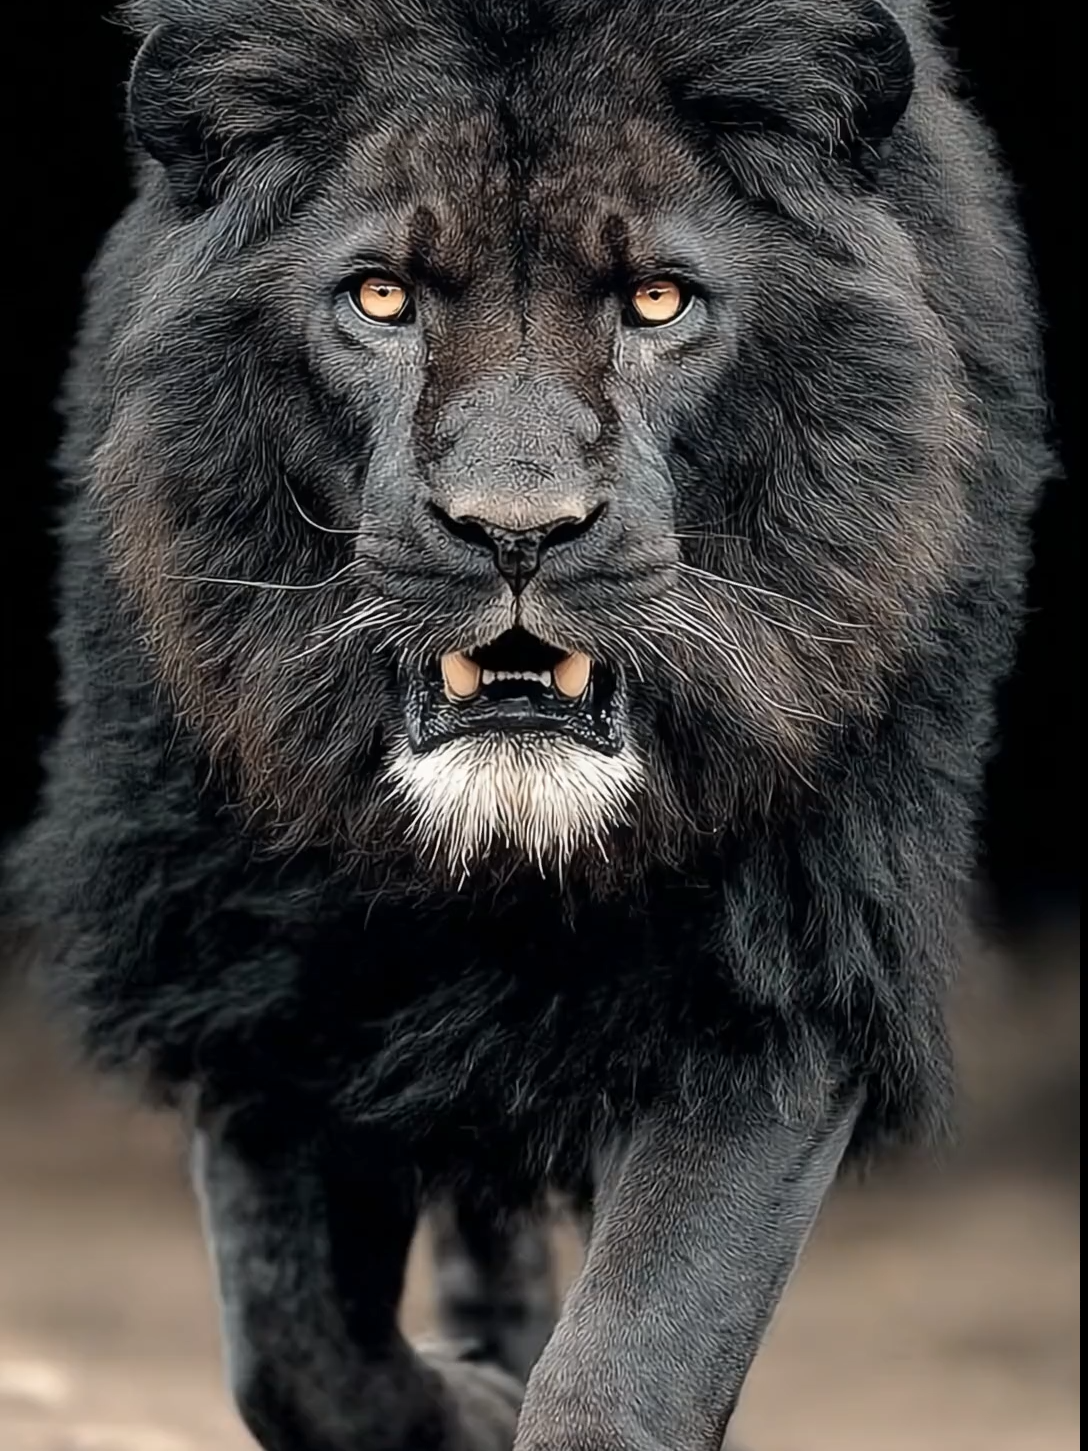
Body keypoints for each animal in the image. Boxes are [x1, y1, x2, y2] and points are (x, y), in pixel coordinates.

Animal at [9, 0, 1052, 1447]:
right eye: (380, 296)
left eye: (657, 299)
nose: (515, 530)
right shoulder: (261, 977)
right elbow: (300, 1346)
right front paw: (473, 1398)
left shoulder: (775, 967)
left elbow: (636, 1352)